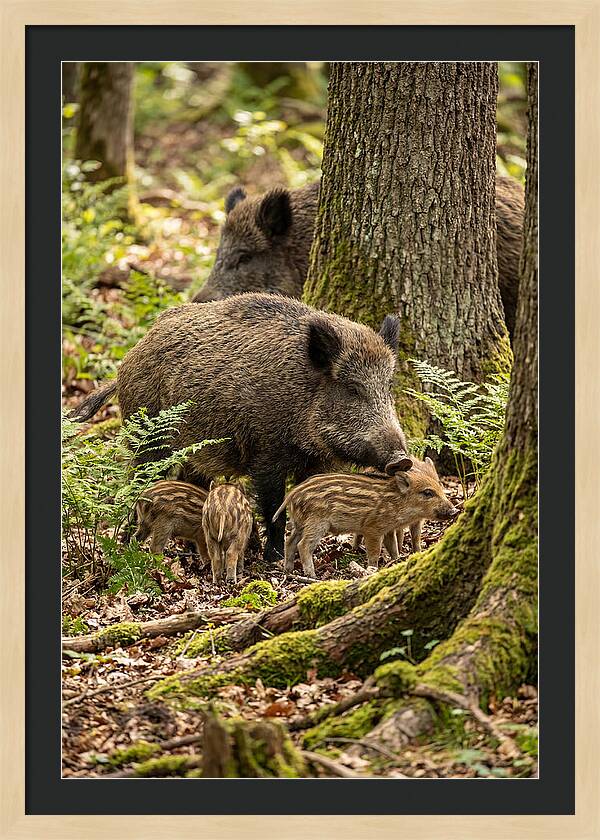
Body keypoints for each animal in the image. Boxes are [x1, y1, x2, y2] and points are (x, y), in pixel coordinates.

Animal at [71, 293, 408, 565]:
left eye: (388, 386)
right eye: (352, 389)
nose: (401, 459)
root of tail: (128, 359)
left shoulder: (316, 463)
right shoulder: (266, 454)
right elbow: (273, 507)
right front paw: (272, 558)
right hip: (149, 437)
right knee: (137, 482)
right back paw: (128, 542)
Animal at [272, 455, 458, 577]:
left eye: (440, 486)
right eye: (427, 492)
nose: (455, 511)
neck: (397, 502)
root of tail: (292, 494)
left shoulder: (388, 529)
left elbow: (392, 546)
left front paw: (397, 561)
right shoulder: (372, 529)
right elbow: (374, 552)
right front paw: (372, 569)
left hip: (300, 523)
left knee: (290, 542)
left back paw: (288, 570)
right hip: (316, 523)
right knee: (303, 545)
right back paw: (312, 576)